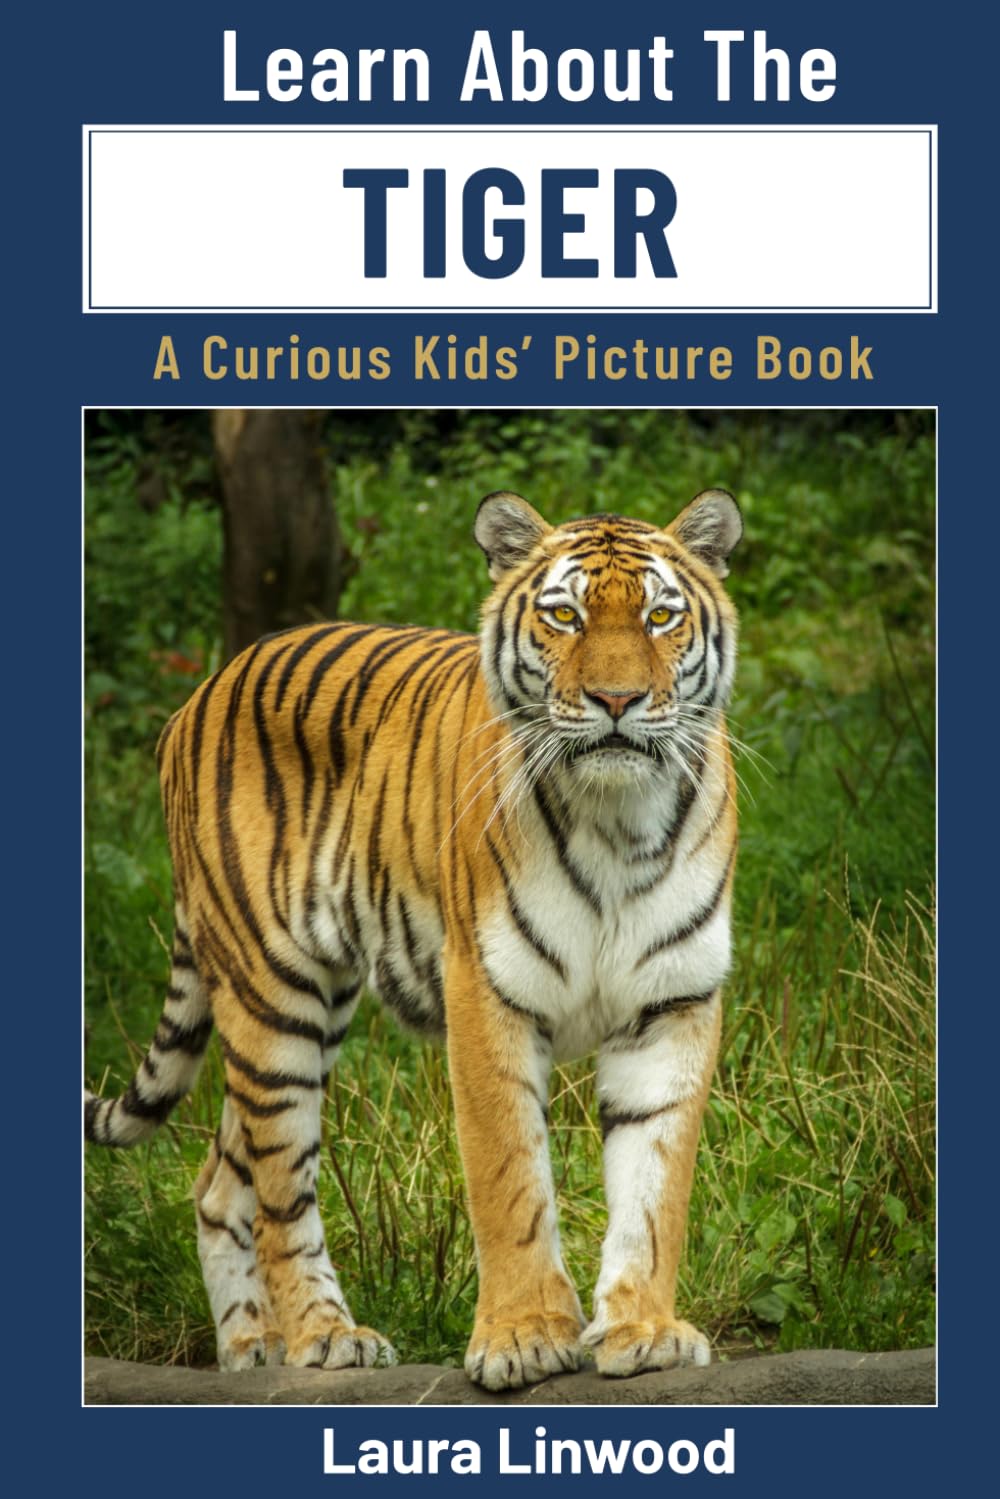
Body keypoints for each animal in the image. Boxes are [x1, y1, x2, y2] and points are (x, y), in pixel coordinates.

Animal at [85, 486, 742, 1391]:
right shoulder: (488, 990)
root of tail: (201, 691)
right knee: (280, 1187)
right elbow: (508, 1176)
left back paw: (250, 1349)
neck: (618, 821)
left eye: (660, 616)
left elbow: (656, 1184)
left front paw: (643, 1329)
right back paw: (324, 1337)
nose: (618, 701)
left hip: (303, 1008)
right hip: (272, 995)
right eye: (565, 615)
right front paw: (523, 1336)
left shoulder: (673, 1001)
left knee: (221, 1180)